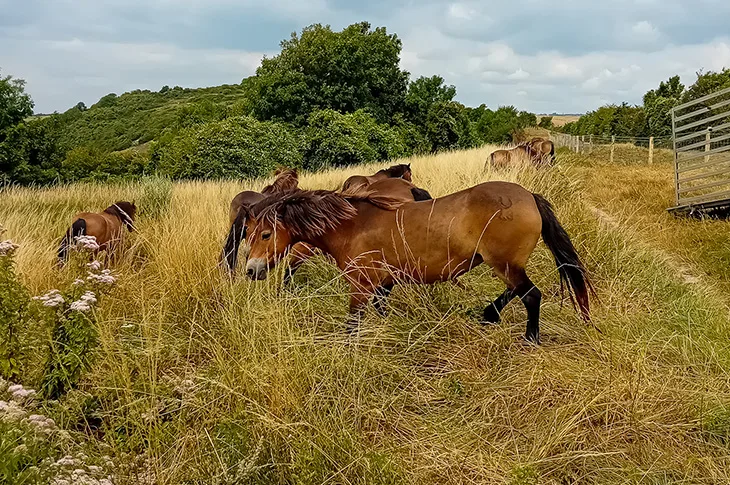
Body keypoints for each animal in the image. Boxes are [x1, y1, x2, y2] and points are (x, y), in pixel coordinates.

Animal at [241, 183, 593, 344]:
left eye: (266, 234)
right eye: (248, 233)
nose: (251, 270)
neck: (352, 226)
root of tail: (528, 196)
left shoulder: (360, 285)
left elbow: (352, 325)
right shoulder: (382, 284)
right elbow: (381, 311)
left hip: (504, 264)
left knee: (531, 296)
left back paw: (529, 338)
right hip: (503, 264)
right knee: (516, 292)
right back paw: (488, 315)